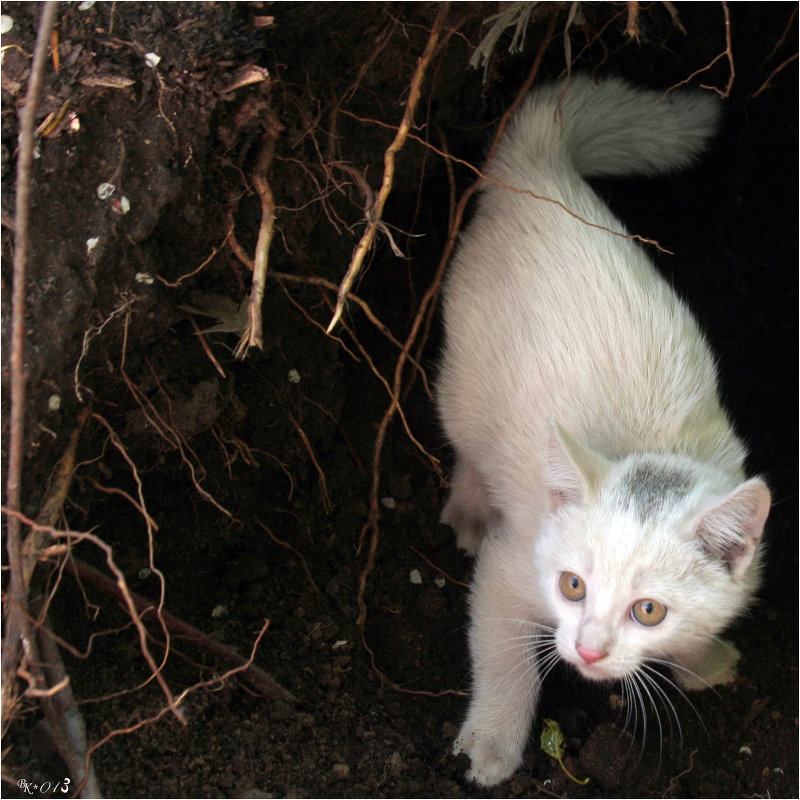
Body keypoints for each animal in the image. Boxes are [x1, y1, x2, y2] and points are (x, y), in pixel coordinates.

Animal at [438, 76, 768, 788]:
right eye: (572, 585)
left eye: (650, 611)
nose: (588, 650)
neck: (655, 449)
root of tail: (541, 168)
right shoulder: (513, 563)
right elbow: (501, 652)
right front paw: (493, 744)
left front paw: (702, 659)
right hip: (463, 378)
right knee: (466, 437)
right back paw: (469, 504)